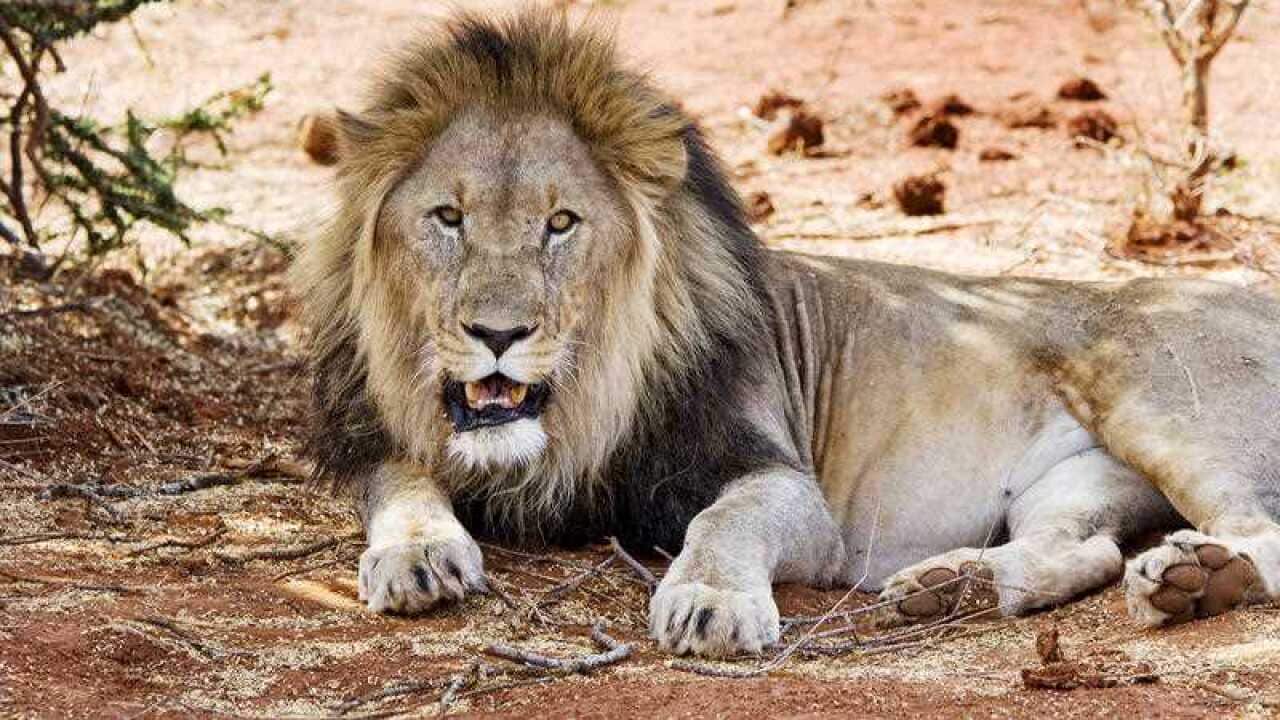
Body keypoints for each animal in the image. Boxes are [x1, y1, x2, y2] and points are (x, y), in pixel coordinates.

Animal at [293, 8, 1280, 657]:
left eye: (561, 223)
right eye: (448, 218)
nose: (497, 333)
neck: (579, 409)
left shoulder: (787, 486)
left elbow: (724, 520)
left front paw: (709, 604)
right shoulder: (380, 438)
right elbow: (402, 480)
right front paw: (418, 555)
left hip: (1156, 404)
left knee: (1256, 531)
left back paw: (1200, 579)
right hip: (1076, 483)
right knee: (1089, 549)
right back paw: (951, 588)